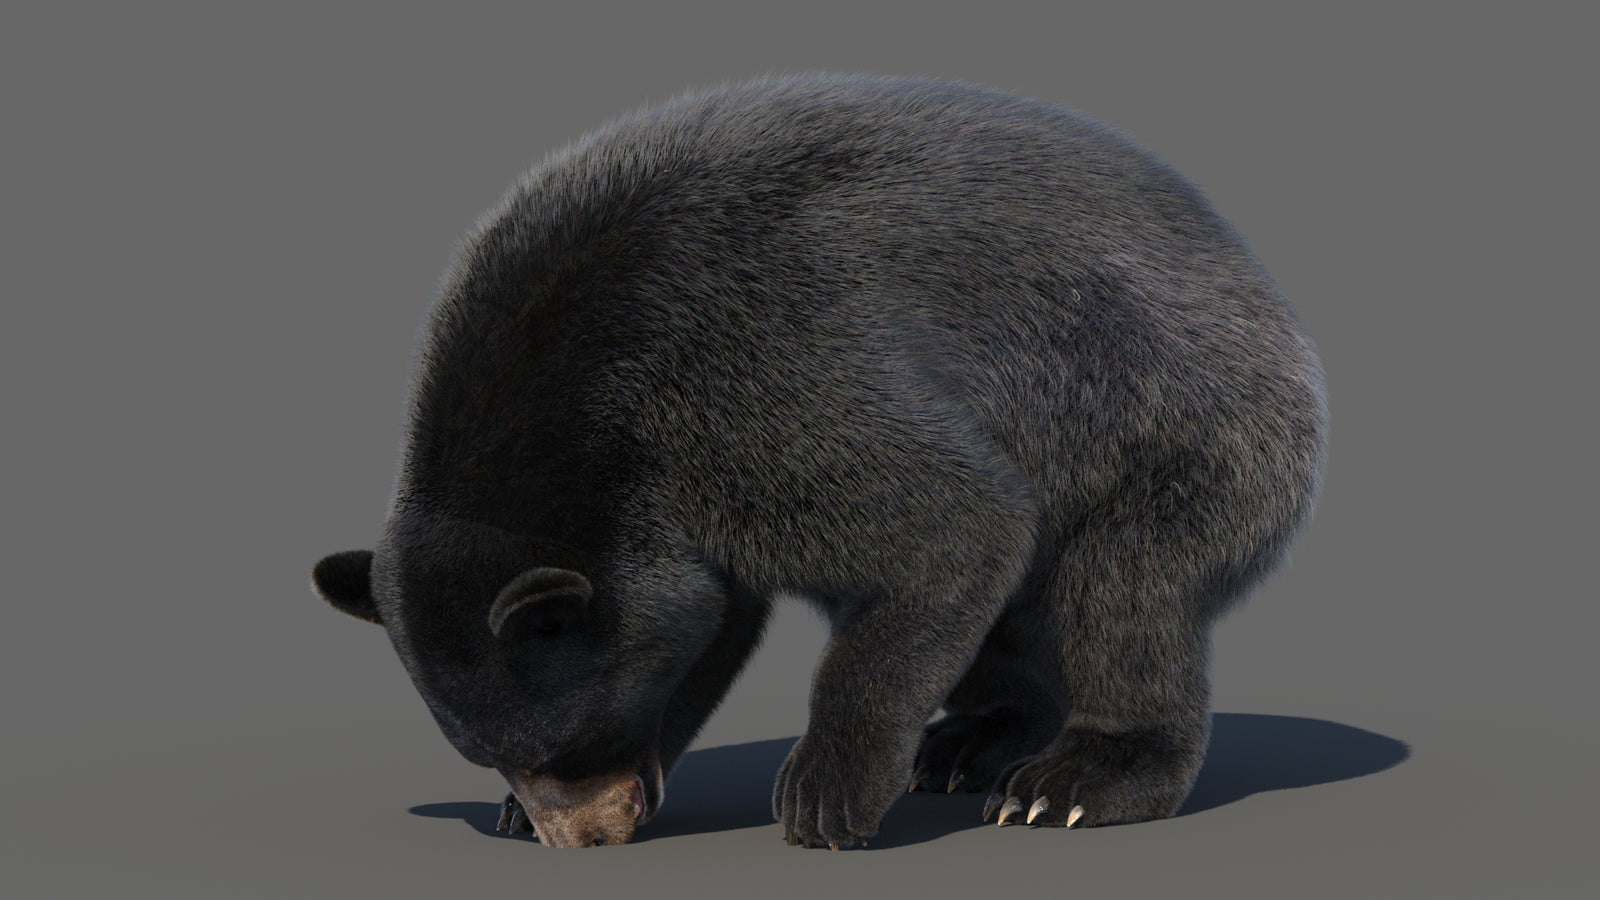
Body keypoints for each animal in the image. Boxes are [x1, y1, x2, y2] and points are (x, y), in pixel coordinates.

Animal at [311, 72, 1327, 850]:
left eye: (559, 743)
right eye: (497, 753)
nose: (589, 837)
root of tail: (1262, 285)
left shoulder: (755, 380)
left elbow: (955, 523)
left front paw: (824, 794)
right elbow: (715, 620)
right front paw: (518, 815)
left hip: (1182, 427)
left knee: (1125, 594)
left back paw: (1069, 781)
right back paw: (970, 742)